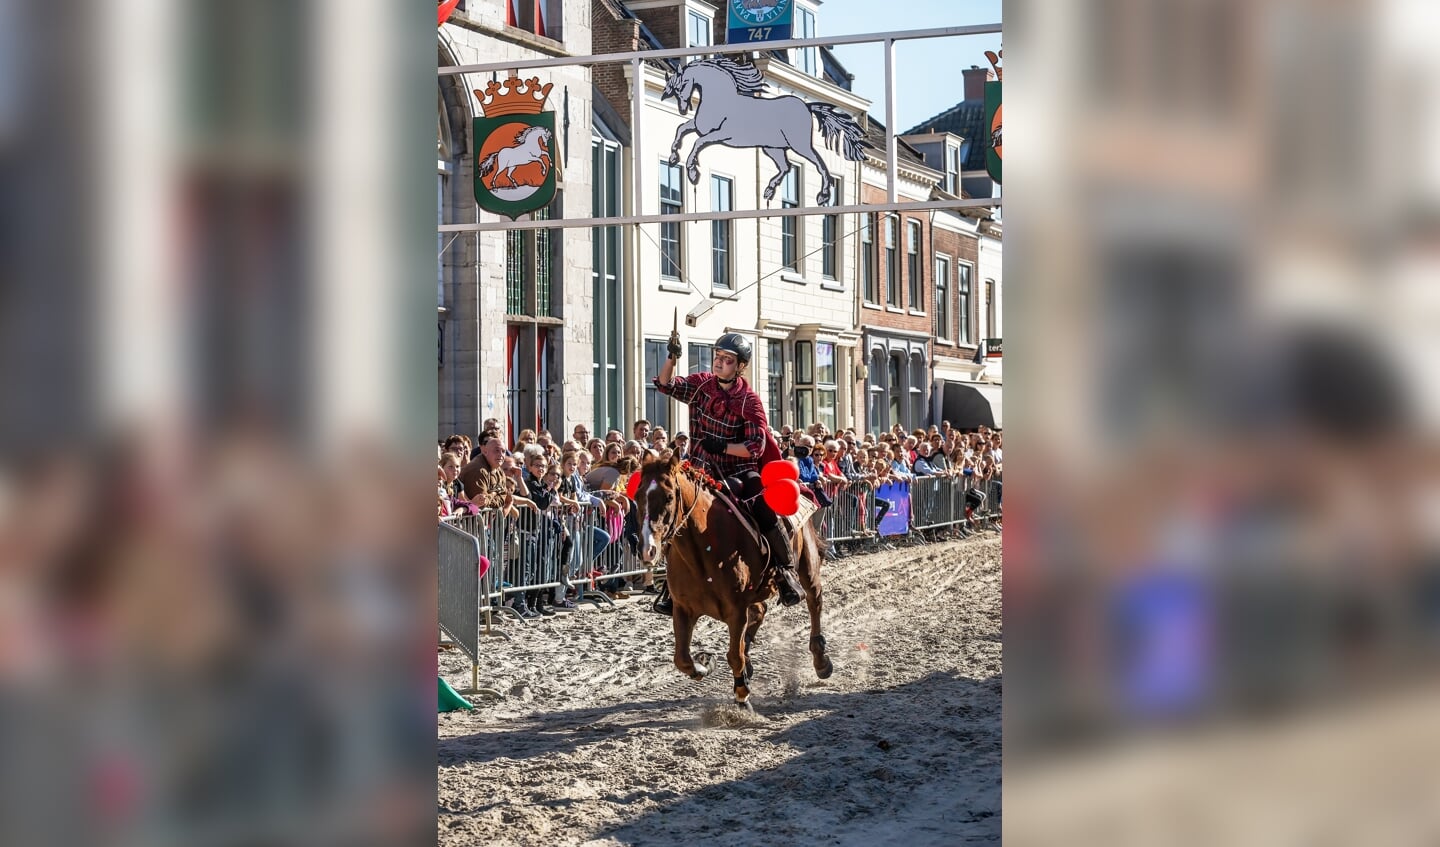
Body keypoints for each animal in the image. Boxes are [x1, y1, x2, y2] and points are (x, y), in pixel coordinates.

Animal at [633, 449, 835, 708]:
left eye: (669, 497)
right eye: (637, 496)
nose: (647, 549)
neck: (704, 548)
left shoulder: (735, 610)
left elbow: (734, 655)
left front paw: (742, 695)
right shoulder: (682, 609)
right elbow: (682, 659)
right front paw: (706, 665)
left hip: (807, 567)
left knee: (814, 601)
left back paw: (821, 661)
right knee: (760, 612)